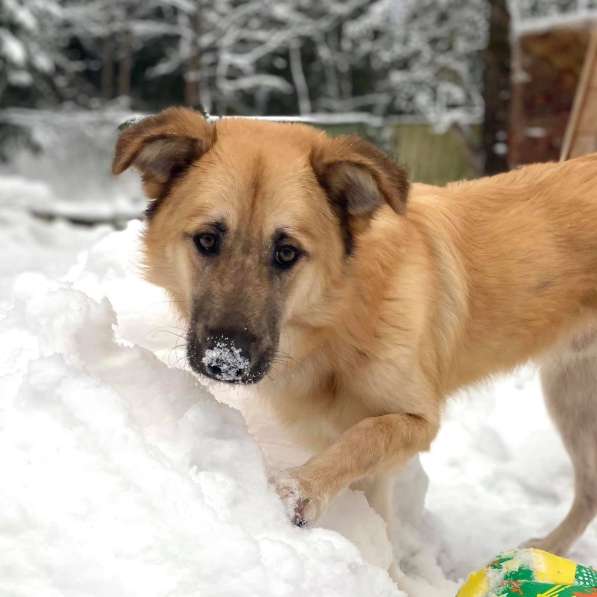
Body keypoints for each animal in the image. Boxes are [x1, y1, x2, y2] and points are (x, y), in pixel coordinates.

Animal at [112, 109, 596, 576]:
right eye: (207, 240)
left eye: (286, 252)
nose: (226, 361)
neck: (338, 323)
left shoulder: (416, 421)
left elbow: (364, 436)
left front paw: (301, 490)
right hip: (571, 398)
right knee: (590, 488)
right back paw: (547, 550)